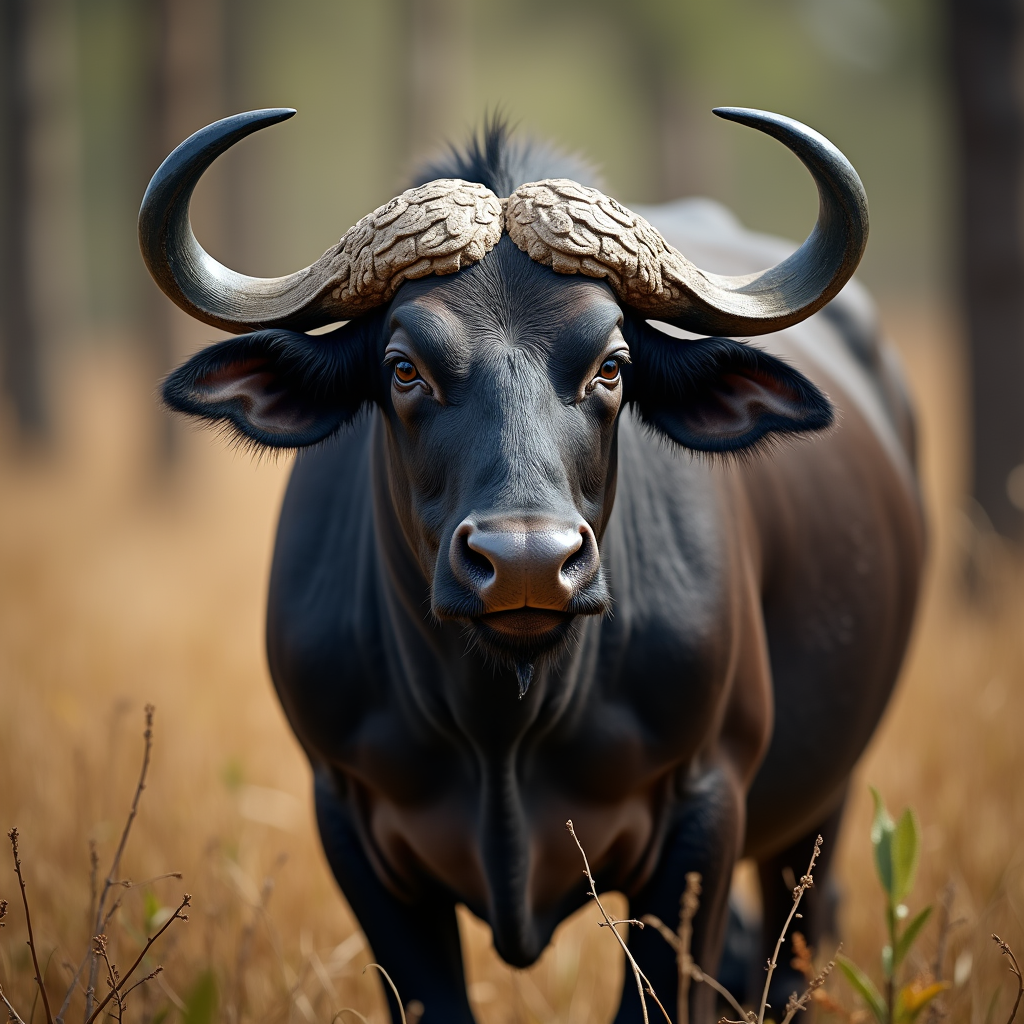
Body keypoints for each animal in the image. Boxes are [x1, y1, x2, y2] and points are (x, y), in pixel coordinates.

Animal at [139, 107, 924, 1024]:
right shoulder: (347, 815)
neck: (500, 731)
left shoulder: (707, 802)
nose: (525, 563)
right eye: (403, 367)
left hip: (819, 803)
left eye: (612, 366)